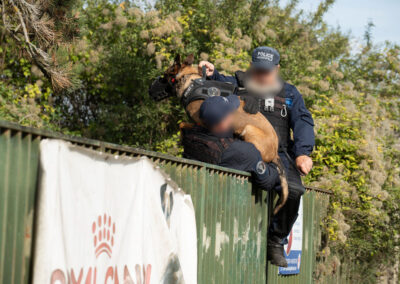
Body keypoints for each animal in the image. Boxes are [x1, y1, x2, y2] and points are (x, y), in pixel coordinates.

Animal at [165, 53, 288, 213]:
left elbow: (182, 124)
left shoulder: (200, 124)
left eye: (166, 73)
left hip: (249, 129)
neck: (190, 82)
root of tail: (275, 153)